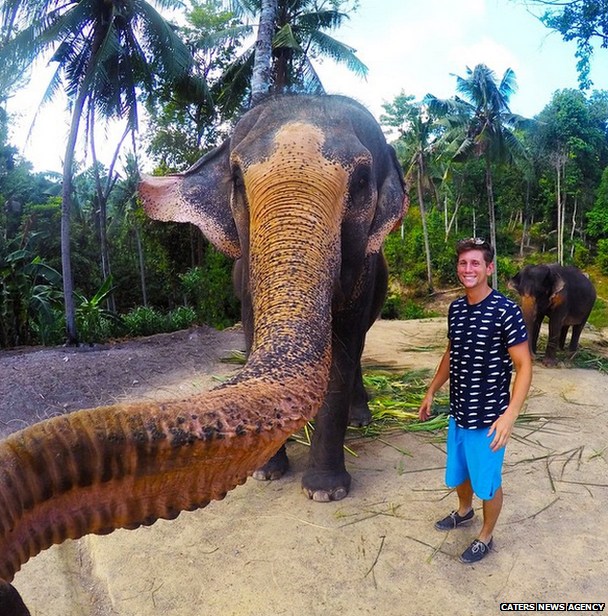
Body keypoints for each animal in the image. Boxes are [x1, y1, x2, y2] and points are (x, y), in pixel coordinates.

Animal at [1, 94, 408, 612]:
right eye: (236, 177)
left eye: (359, 181)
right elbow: (251, 332)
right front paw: (266, 474)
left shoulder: (363, 275)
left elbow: (343, 345)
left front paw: (324, 493)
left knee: (357, 350)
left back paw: (360, 419)